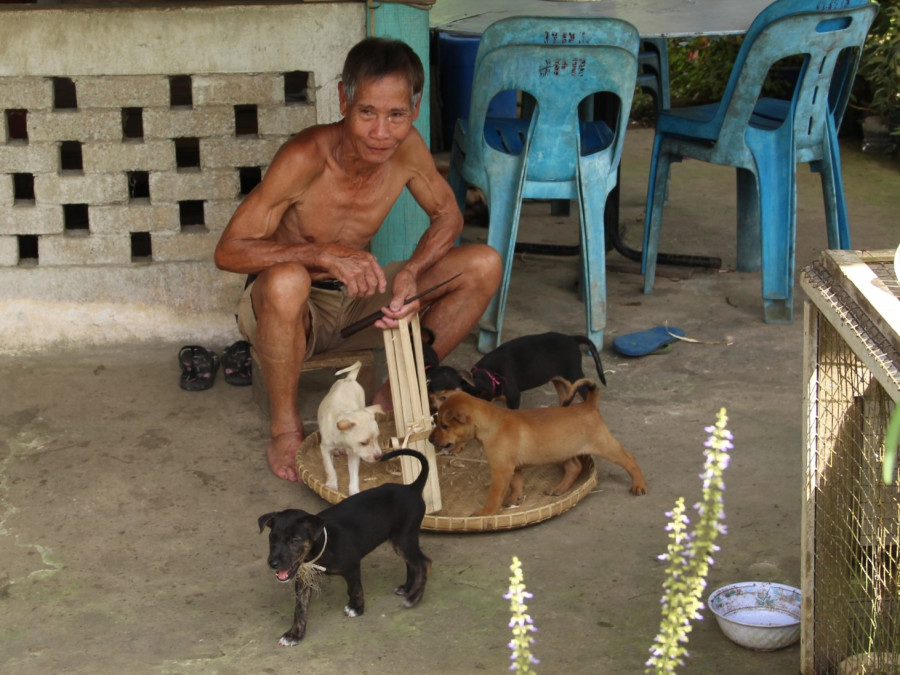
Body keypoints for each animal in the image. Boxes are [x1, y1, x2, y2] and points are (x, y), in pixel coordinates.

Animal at [256, 452, 432, 648]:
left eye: (294, 541)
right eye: (272, 538)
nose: (272, 563)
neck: (322, 546)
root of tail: (412, 488)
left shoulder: (352, 566)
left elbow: (355, 589)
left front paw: (356, 608)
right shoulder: (304, 579)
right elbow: (300, 608)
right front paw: (295, 634)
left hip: (404, 538)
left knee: (424, 563)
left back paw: (414, 597)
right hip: (401, 540)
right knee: (412, 563)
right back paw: (407, 588)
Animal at [316, 360, 384, 496]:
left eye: (377, 439)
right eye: (364, 443)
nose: (379, 456)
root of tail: (349, 379)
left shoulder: (354, 454)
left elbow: (354, 475)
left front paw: (354, 491)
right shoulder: (324, 449)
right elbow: (330, 468)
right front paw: (331, 485)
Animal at [430, 378, 648, 516]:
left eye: (444, 426)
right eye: (437, 422)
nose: (431, 440)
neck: (490, 423)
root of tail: (589, 404)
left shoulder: (501, 470)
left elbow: (494, 495)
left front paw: (485, 513)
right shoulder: (514, 468)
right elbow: (516, 484)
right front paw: (514, 499)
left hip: (604, 445)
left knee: (630, 459)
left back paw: (639, 485)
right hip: (562, 451)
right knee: (575, 467)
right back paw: (559, 489)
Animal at [464, 332, 604, 410]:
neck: (492, 373)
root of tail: (572, 338)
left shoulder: (514, 396)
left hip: (574, 375)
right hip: (559, 380)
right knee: (565, 398)